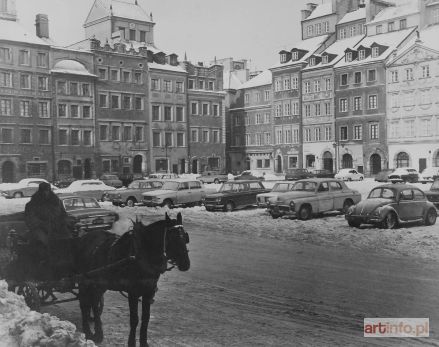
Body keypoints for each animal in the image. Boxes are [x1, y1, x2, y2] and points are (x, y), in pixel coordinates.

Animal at [76, 212, 190, 347]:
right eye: (173, 238)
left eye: (185, 237)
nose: (186, 264)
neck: (142, 256)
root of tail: (84, 237)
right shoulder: (133, 293)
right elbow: (134, 319)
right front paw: (131, 342)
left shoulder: (149, 291)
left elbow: (146, 318)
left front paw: (144, 342)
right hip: (84, 281)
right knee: (84, 303)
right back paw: (89, 332)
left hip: (99, 284)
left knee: (93, 303)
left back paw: (96, 332)